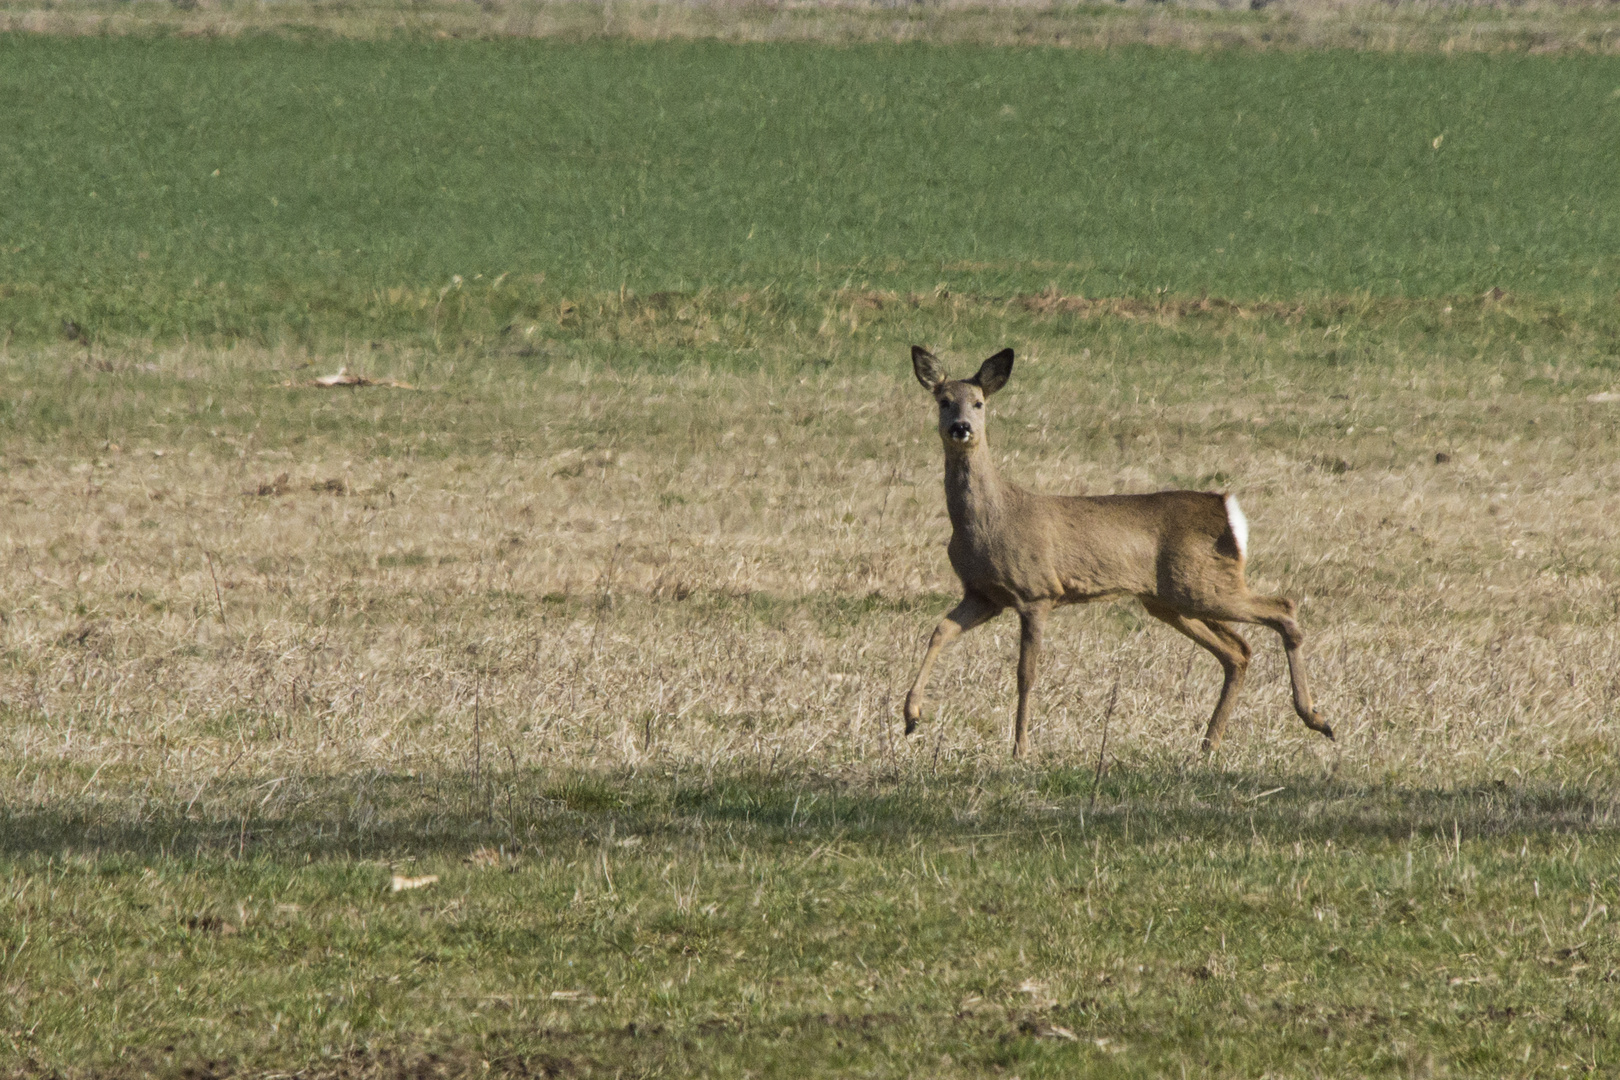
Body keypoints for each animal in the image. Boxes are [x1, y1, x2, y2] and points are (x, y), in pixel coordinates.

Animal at [900, 348, 1328, 761]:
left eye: (979, 402)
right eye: (943, 401)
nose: (961, 427)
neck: (992, 520)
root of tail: (1227, 510)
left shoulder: (1037, 592)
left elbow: (1026, 673)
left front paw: (1020, 749)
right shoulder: (983, 595)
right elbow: (939, 631)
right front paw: (911, 716)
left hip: (1202, 586)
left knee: (1283, 607)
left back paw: (1315, 718)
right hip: (1172, 599)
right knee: (1238, 650)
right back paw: (1210, 744)